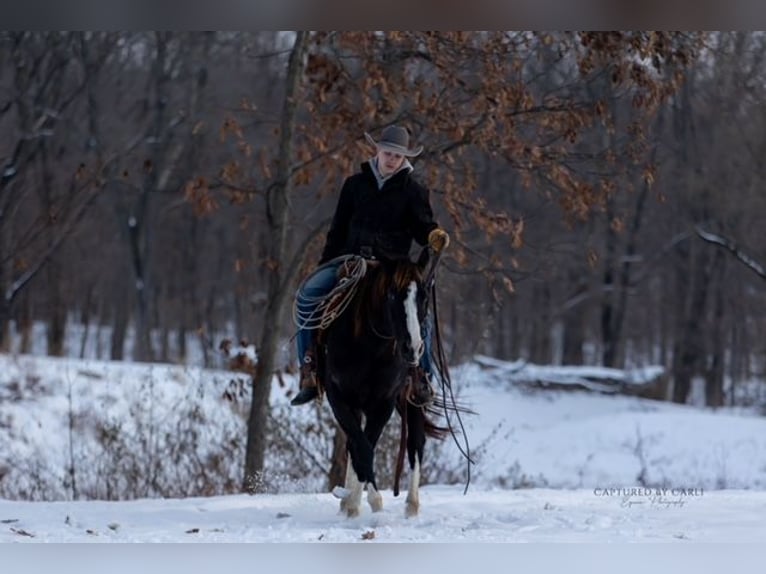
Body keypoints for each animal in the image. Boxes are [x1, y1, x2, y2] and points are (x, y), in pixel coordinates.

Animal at [316, 251, 445, 518]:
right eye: (392, 295)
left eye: (424, 296)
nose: (412, 348)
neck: (370, 348)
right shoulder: (340, 398)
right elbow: (360, 446)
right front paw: (352, 502)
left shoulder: (383, 402)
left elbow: (368, 446)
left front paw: (365, 500)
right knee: (354, 445)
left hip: (413, 399)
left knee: (415, 443)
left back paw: (411, 505)